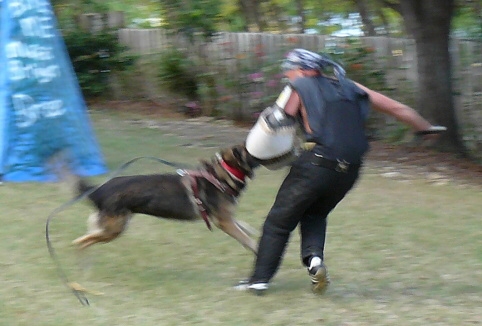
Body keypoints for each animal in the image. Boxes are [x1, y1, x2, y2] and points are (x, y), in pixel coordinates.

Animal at [71, 145, 260, 255]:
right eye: (250, 151)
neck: (222, 175)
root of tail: (99, 189)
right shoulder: (223, 221)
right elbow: (246, 239)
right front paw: (256, 249)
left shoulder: (226, 218)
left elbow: (244, 228)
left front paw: (252, 232)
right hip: (113, 230)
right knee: (80, 242)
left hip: (111, 228)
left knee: (85, 238)